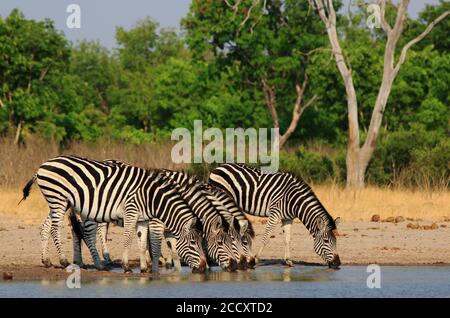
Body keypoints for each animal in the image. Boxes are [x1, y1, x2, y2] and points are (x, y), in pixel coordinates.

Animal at [19, 155, 206, 272]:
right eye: (193, 243)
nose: (204, 267)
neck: (151, 197)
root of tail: (42, 167)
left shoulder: (143, 219)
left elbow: (142, 240)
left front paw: (144, 268)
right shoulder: (132, 211)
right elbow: (131, 238)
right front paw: (127, 266)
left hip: (60, 202)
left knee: (47, 226)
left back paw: (47, 261)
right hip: (58, 199)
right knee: (57, 228)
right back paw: (65, 261)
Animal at [209, 163, 342, 270]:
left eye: (336, 240)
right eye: (326, 241)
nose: (338, 263)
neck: (294, 200)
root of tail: (218, 167)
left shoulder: (287, 218)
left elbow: (287, 239)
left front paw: (289, 261)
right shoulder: (275, 213)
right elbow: (266, 237)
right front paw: (256, 259)